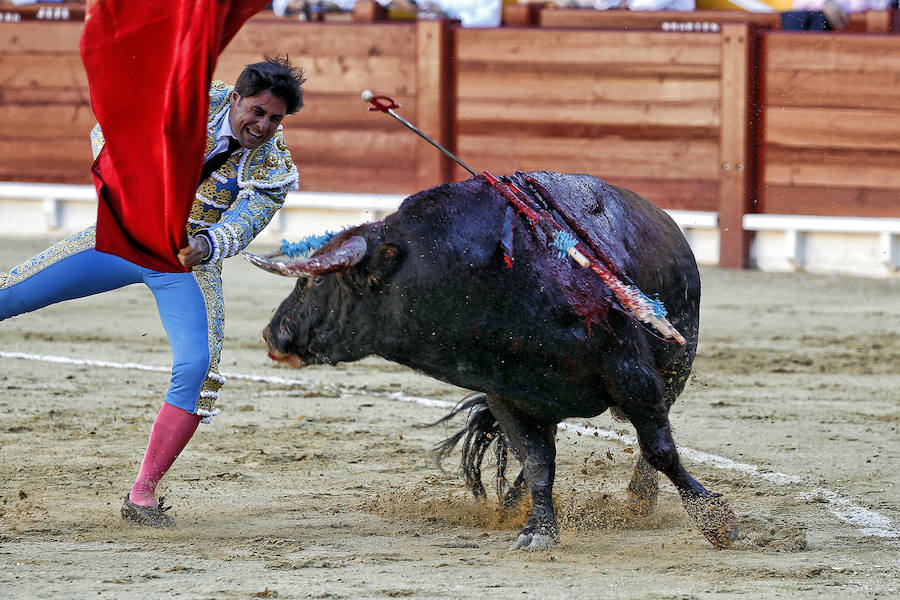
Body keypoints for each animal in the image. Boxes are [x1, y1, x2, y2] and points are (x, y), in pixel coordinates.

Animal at [246, 171, 740, 552]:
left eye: (316, 282)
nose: (272, 333)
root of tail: (662, 218)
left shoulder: (633, 376)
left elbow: (660, 450)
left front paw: (716, 521)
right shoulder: (506, 393)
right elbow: (539, 461)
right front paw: (538, 529)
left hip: (676, 366)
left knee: (652, 441)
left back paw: (640, 498)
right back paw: (516, 501)